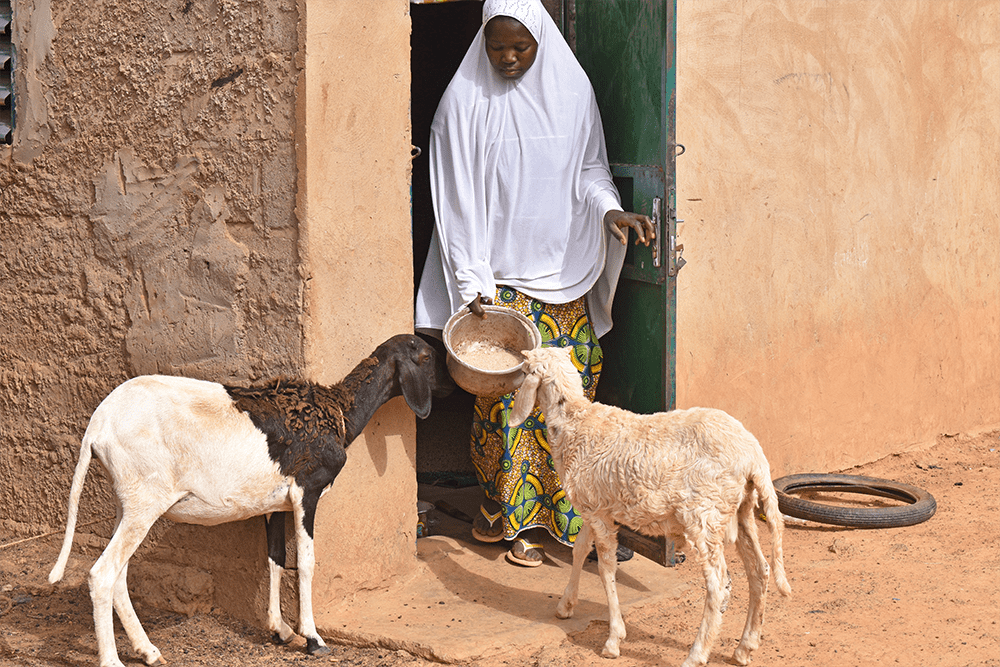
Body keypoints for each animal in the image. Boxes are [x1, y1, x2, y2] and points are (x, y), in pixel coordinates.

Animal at [48, 334, 451, 667]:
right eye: (427, 356)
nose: (451, 387)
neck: (336, 410)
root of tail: (98, 424)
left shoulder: (275, 505)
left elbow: (275, 559)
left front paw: (280, 630)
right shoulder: (307, 491)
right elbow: (306, 563)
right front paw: (313, 638)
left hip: (127, 503)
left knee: (119, 575)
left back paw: (148, 651)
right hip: (145, 502)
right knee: (102, 573)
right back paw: (114, 660)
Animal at [509, 346, 791, 667]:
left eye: (525, 369)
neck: (575, 421)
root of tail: (754, 457)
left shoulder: (599, 514)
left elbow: (606, 569)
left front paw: (613, 639)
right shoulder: (594, 507)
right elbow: (580, 549)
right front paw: (566, 604)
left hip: (704, 514)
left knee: (718, 585)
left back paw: (697, 654)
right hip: (740, 510)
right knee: (760, 570)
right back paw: (746, 646)